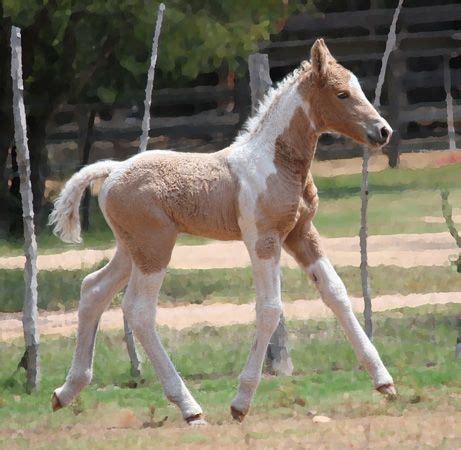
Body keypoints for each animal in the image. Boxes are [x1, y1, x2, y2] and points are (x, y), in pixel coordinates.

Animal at [49, 39, 396, 426]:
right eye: (341, 94)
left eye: (358, 88)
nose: (383, 131)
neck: (274, 163)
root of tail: (113, 170)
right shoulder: (263, 238)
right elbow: (270, 309)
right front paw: (241, 402)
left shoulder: (301, 234)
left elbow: (335, 292)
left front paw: (384, 381)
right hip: (155, 248)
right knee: (138, 310)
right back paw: (189, 407)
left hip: (131, 248)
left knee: (93, 289)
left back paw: (66, 391)